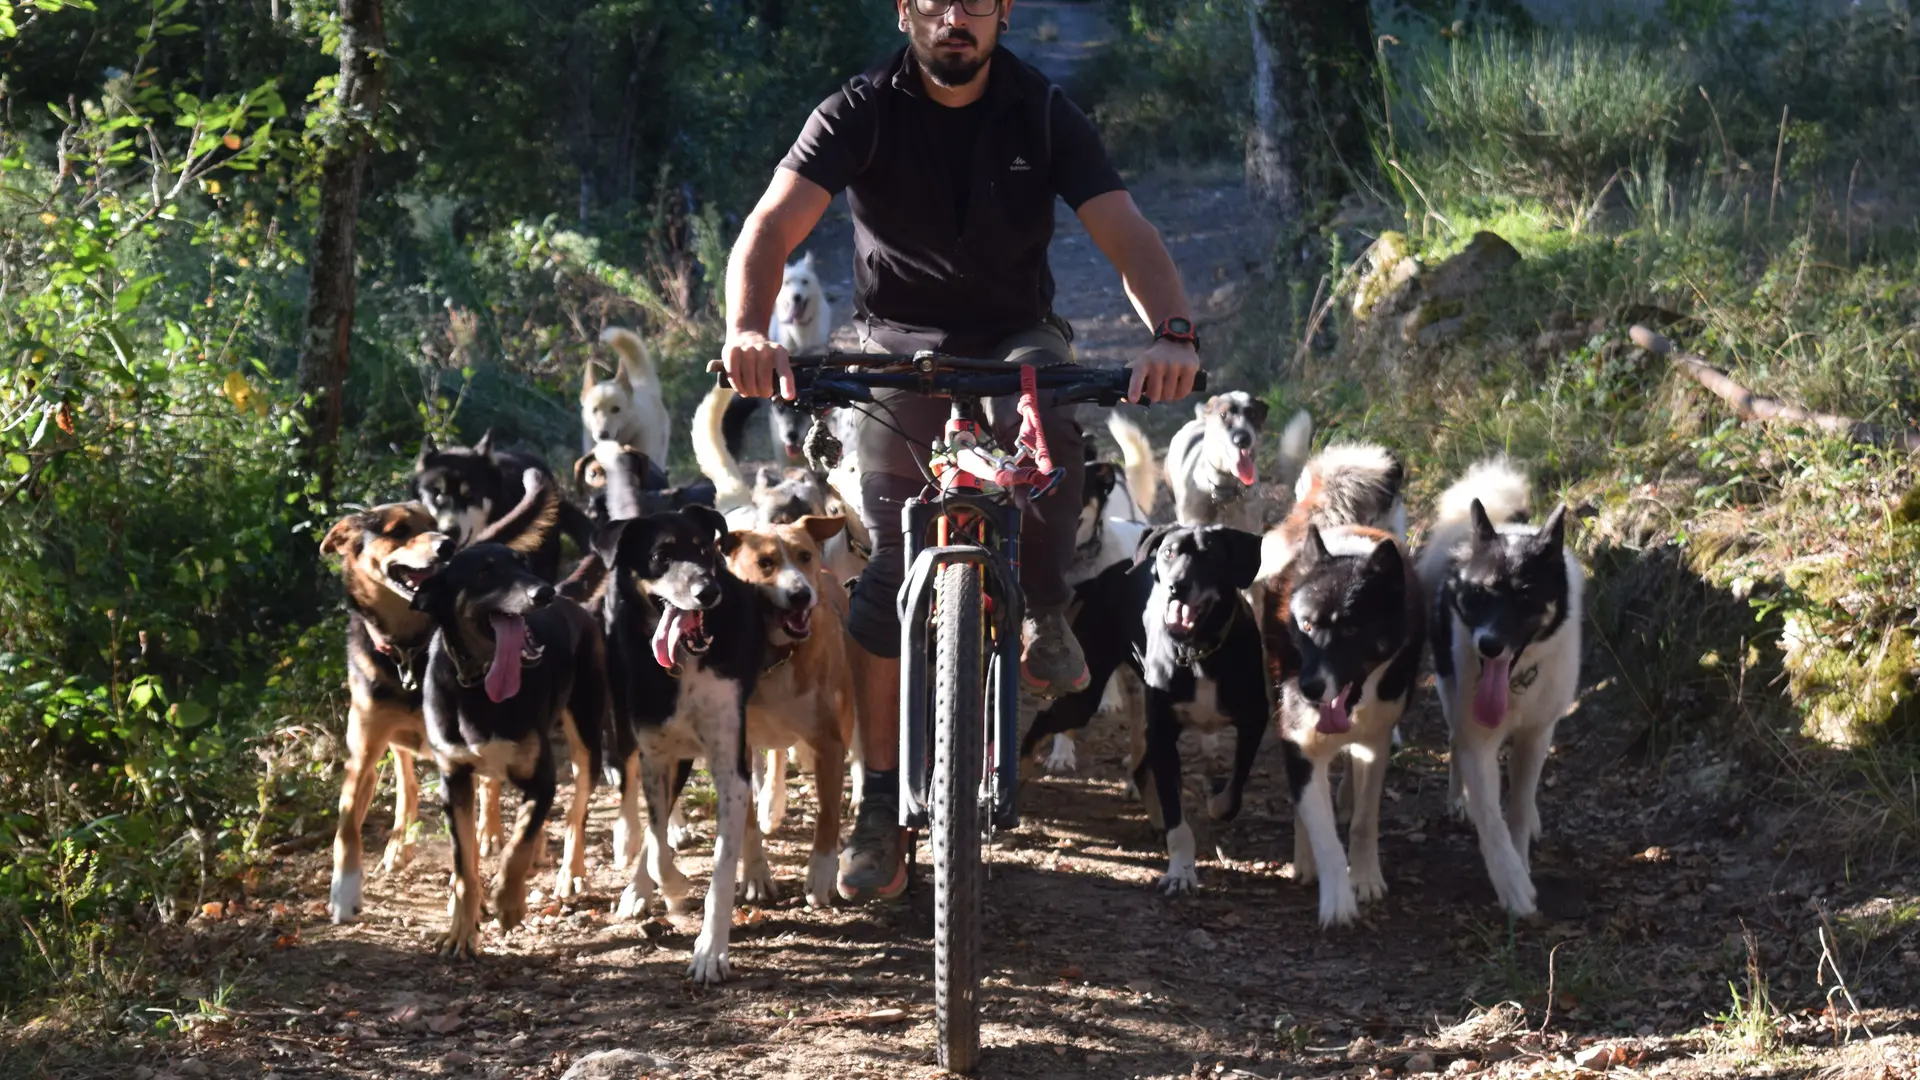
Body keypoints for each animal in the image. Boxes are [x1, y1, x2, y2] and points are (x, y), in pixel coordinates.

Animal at [410, 541, 614, 953]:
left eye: (523, 564)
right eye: (485, 572)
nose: (543, 593)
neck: (480, 686)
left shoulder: (542, 780)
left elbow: (517, 847)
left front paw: (508, 902)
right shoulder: (454, 780)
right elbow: (464, 862)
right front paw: (461, 928)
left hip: (586, 737)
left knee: (577, 810)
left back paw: (570, 872)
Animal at [591, 499, 764, 980]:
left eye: (704, 548)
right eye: (660, 556)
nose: (708, 591)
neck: (685, 663)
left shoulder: (729, 762)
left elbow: (722, 865)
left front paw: (710, 952)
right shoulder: (655, 755)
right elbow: (655, 843)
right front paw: (669, 888)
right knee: (644, 812)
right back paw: (636, 879)